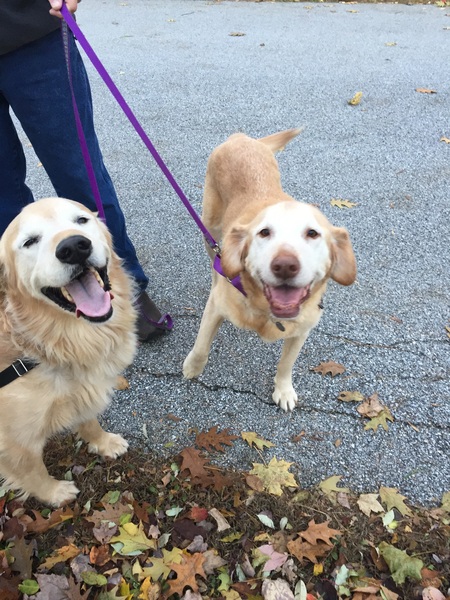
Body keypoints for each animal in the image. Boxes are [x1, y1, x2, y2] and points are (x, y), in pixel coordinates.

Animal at [0, 198, 137, 506]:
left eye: (81, 220)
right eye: (30, 241)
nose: (74, 247)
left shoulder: (82, 390)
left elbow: (90, 421)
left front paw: (104, 442)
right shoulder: (13, 441)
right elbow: (32, 470)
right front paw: (55, 493)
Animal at [182, 131, 356, 412]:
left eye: (313, 233)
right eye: (264, 232)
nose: (285, 265)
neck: (264, 310)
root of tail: (241, 137)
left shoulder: (302, 331)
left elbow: (286, 364)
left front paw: (283, 390)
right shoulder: (216, 308)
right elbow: (201, 345)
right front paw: (192, 367)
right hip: (210, 231)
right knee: (214, 261)